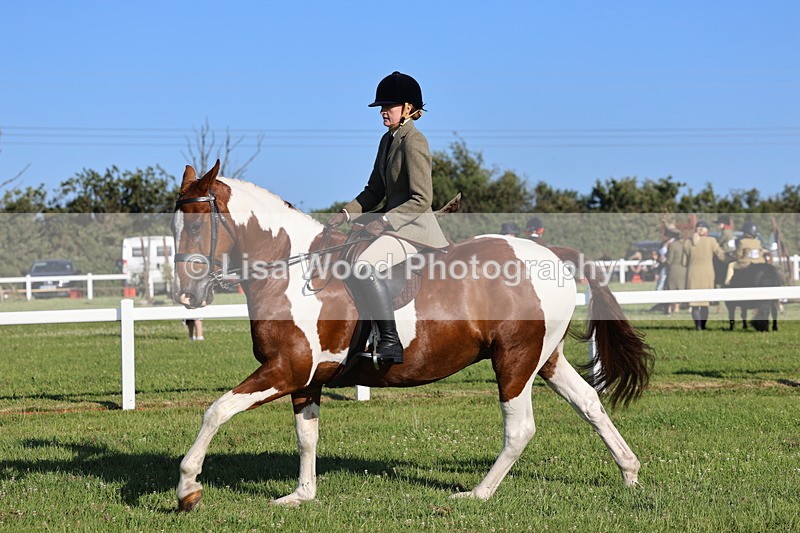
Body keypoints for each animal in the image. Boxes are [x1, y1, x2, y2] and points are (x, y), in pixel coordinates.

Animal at [171, 161, 654, 511]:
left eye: (194, 226)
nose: (187, 295)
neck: (292, 273)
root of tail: (550, 252)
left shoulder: (286, 369)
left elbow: (215, 411)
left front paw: (188, 488)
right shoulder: (306, 377)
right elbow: (306, 435)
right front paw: (302, 495)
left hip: (514, 360)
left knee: (520, 429)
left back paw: (478, 493)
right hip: (546, 357)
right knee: (589, 403)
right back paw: (630, 472)